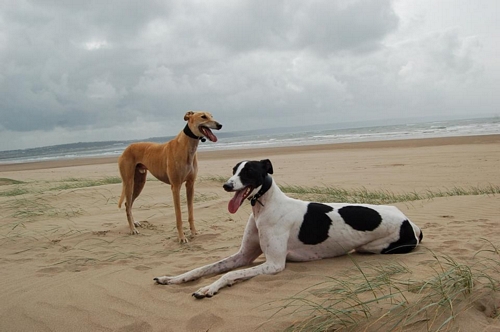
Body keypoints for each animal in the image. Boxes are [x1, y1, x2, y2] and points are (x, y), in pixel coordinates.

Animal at [118, 110, 222, 243]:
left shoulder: (190, 185)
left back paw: (134, 223)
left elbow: (191, 212)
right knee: (127, 204)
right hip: (129, 182)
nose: (220, 125)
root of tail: (126, 149)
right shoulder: (175, 187)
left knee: (128, 204)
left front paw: (193, 232)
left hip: (139, 182)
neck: (186, 146)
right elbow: (178, 216)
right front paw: (182, 238)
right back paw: (132, 229)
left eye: (212, 116)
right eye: (203, 116)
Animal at [154, 159, 424, 298]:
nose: (226, 186)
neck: (265, 207)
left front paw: (209, 288)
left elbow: (229, 274)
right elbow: (203, 268)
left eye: (248, 170)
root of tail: (411, 223)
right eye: (233, 170)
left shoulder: (274, 264)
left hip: (374, 248)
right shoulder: (243, 256)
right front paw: (173, 278)